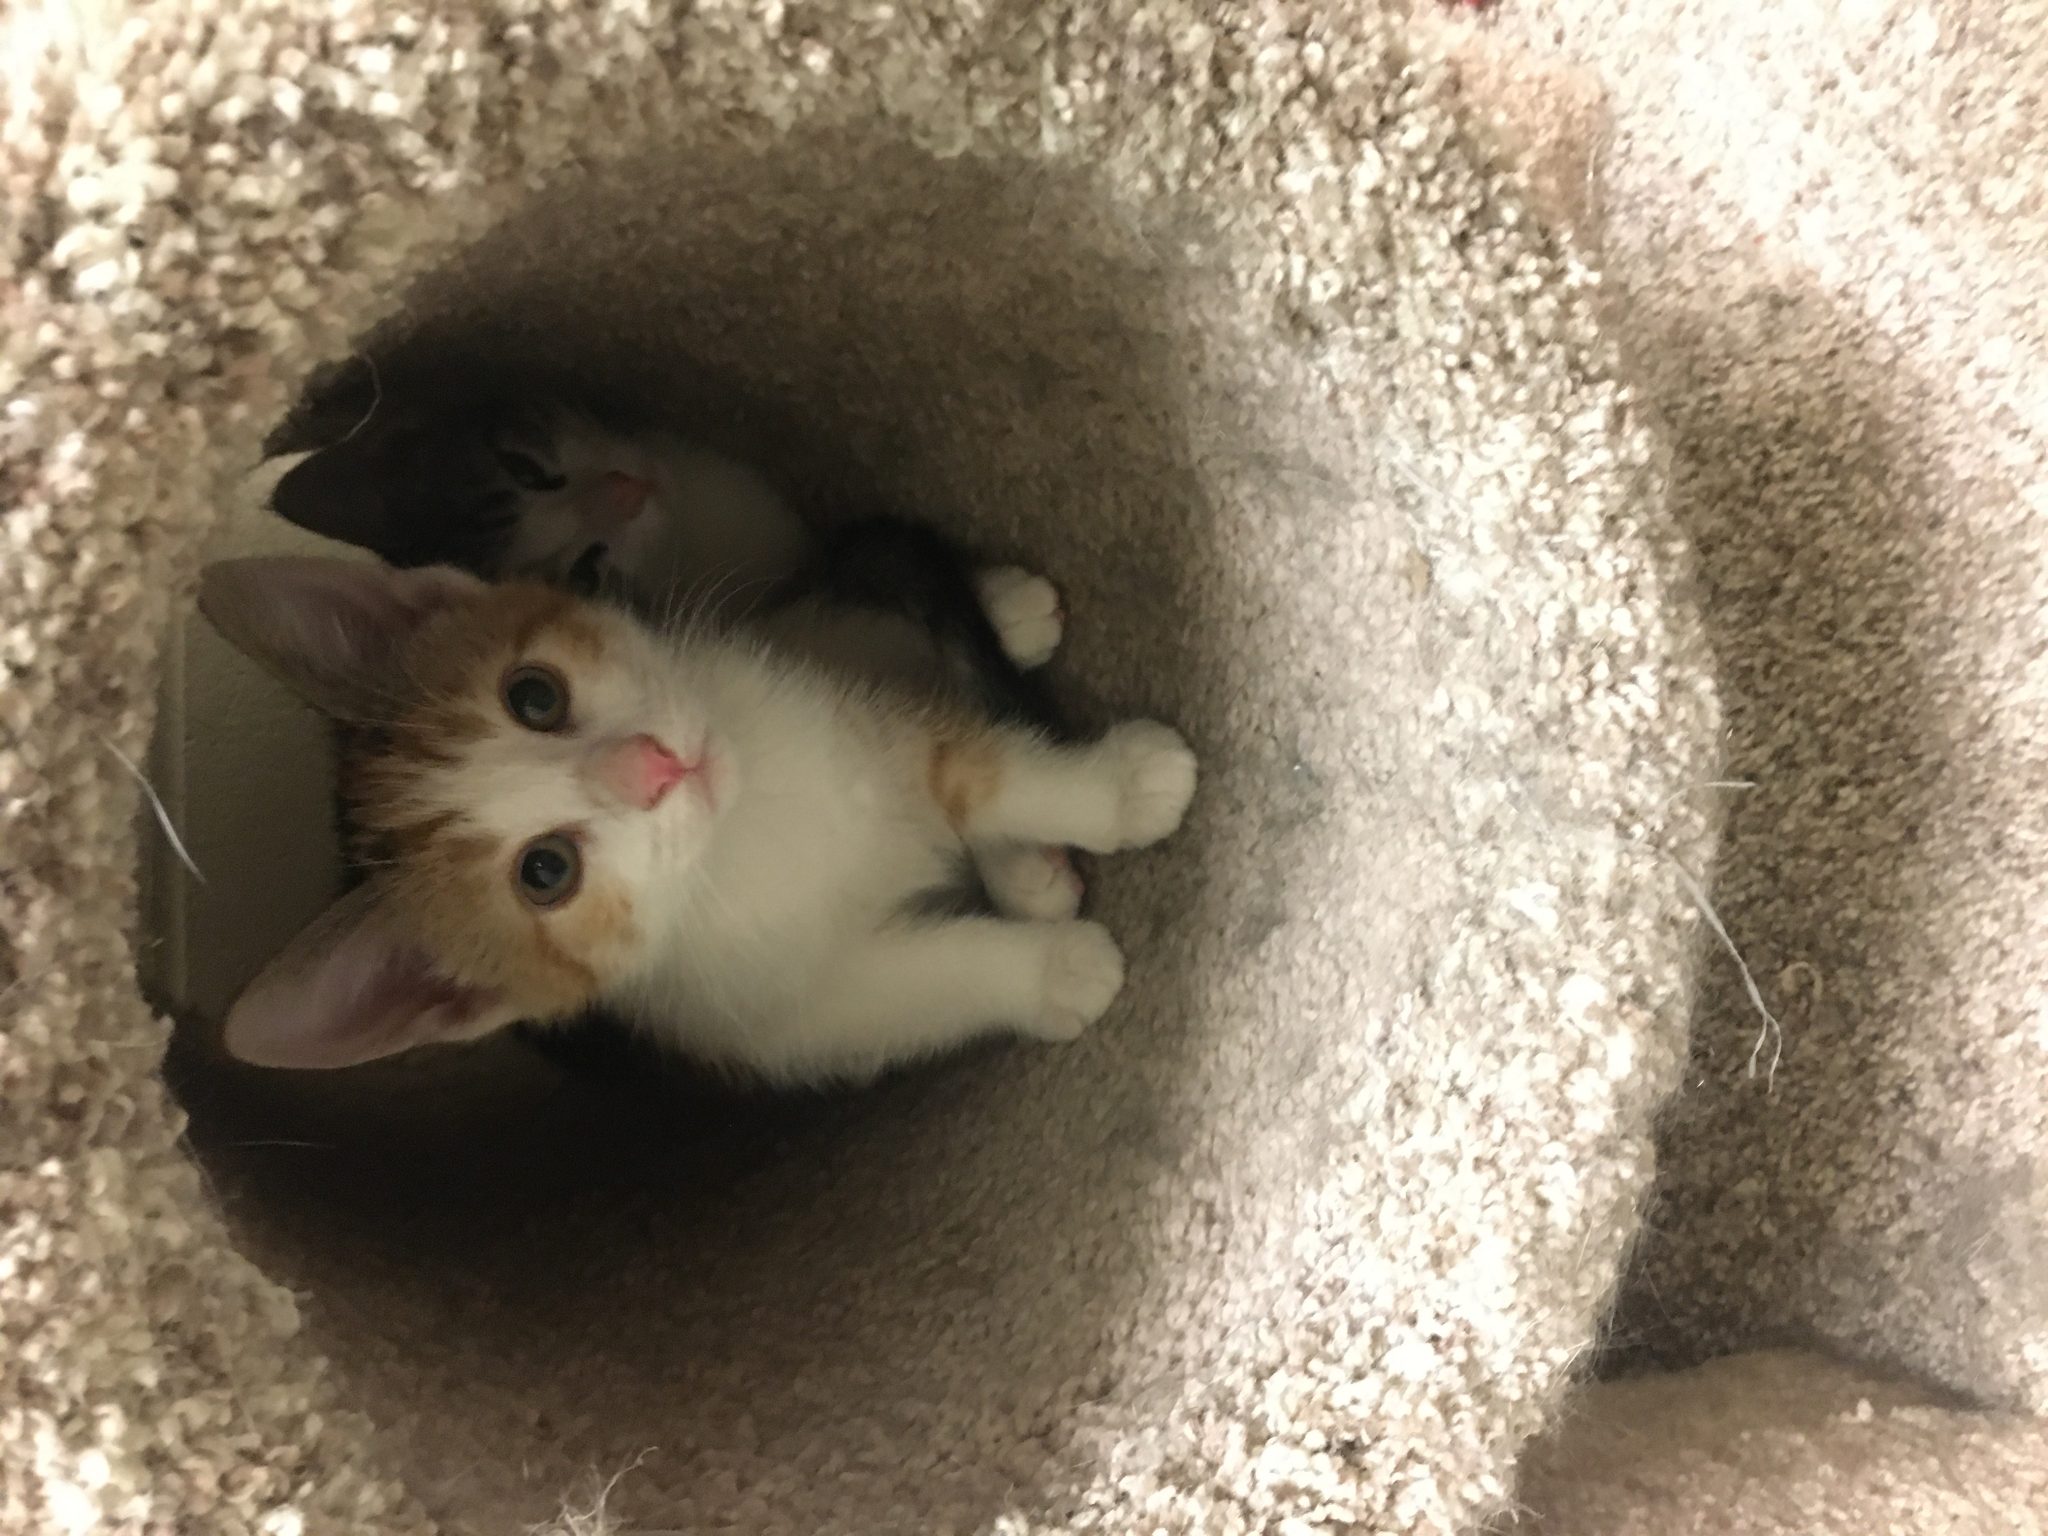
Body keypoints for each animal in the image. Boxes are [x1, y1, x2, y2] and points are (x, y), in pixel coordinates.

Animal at [197, 555, 1197, 1083]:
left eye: (534, 695)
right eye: (546, 872)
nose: (653, 767)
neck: (745, 826)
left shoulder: (850, 719)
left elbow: (980, 771)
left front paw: (1115, 788)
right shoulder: (769, 1011)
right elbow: (907, 987)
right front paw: (1053, 972)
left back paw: (1009, 615)